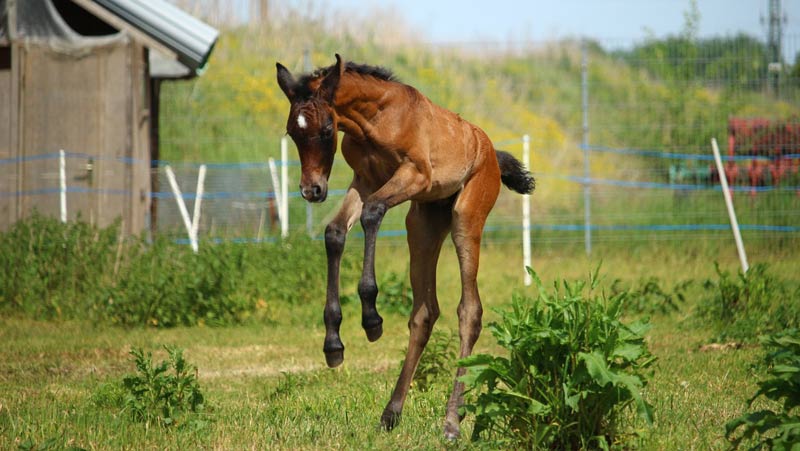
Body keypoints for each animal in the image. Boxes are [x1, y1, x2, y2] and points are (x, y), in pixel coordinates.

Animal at [275, 54, 534, 439]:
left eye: (326, 131)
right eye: (293, 132)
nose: (312, 190)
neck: (376, 119)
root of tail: (489, 150)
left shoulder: (414, 176)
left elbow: (372, 214)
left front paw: (371, 318)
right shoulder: (366, 179)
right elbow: (335, 232)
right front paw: (334, 344)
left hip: (465, 219)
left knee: (469, 311)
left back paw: (451, 422)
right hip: (423, 225)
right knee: (425, 312)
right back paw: (391, 413)